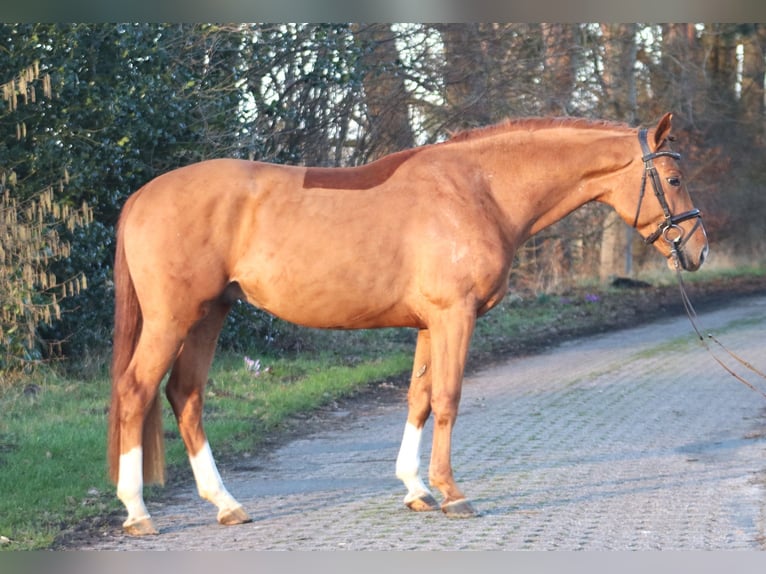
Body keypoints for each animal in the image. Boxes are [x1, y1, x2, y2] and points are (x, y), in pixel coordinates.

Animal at [106, 112, 708, 536]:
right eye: (674, 178)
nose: (699, 249)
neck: (479, 189)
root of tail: (140, 195)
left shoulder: (427, 324)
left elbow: (418, 398)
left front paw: (416, 489)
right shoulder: (453, 316)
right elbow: (448, 398)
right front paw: (452, 493)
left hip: (210, 313)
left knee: (185, 395)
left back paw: (226, 504)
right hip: (174, 317)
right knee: (137, 391)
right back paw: (137, 512)